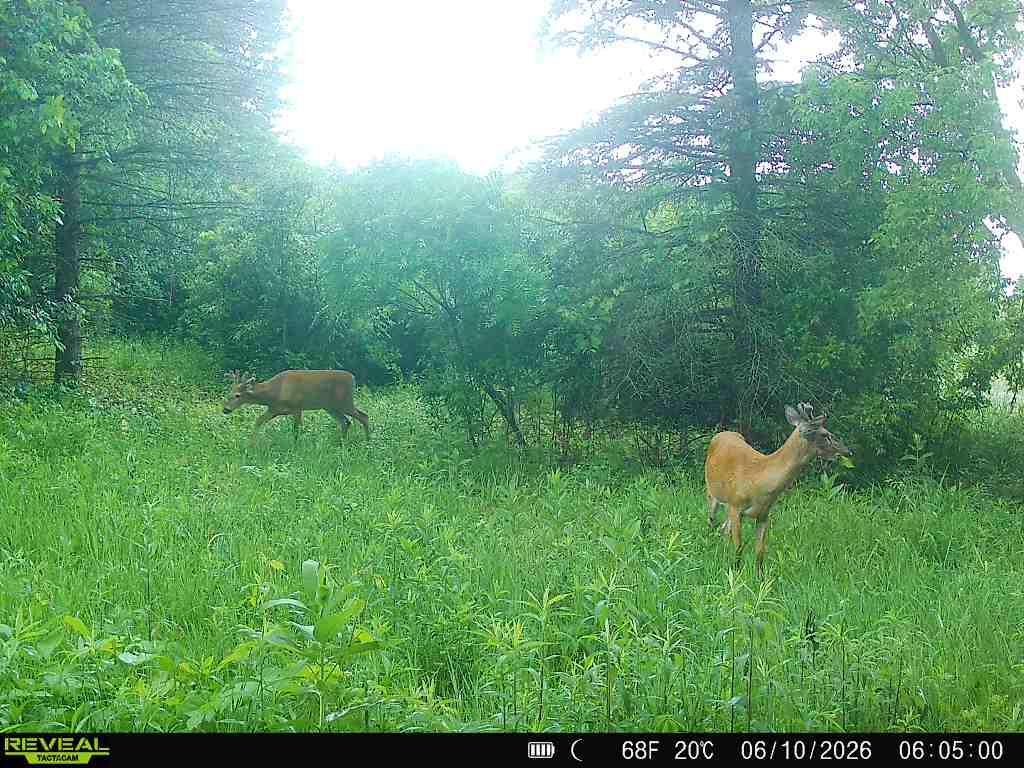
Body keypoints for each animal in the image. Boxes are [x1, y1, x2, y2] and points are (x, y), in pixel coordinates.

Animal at [222, 369, 370, 442]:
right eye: (229, 393)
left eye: (237, 395)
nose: (225, 409)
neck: (275, 392)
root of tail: (353, 378)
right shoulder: (274, 409)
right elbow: (258, 421)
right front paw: (251, 443)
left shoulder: (297, 407)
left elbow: (296, 430)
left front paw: (295, 446)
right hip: (330, 407)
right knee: (346, 422)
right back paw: (342, 443)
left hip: (345, 401)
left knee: (363, 416)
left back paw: (367, 442)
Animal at [705, 402, 851, 575]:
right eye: (825, 434)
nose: (847, 451)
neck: (759, 482)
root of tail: (722, 433)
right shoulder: (736, 505)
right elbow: (739, 547)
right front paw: (736, 572)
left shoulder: (763, 514)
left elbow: (760, 551)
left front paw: (759, 577)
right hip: (712, 493)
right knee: (712, 523)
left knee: (723, 529)